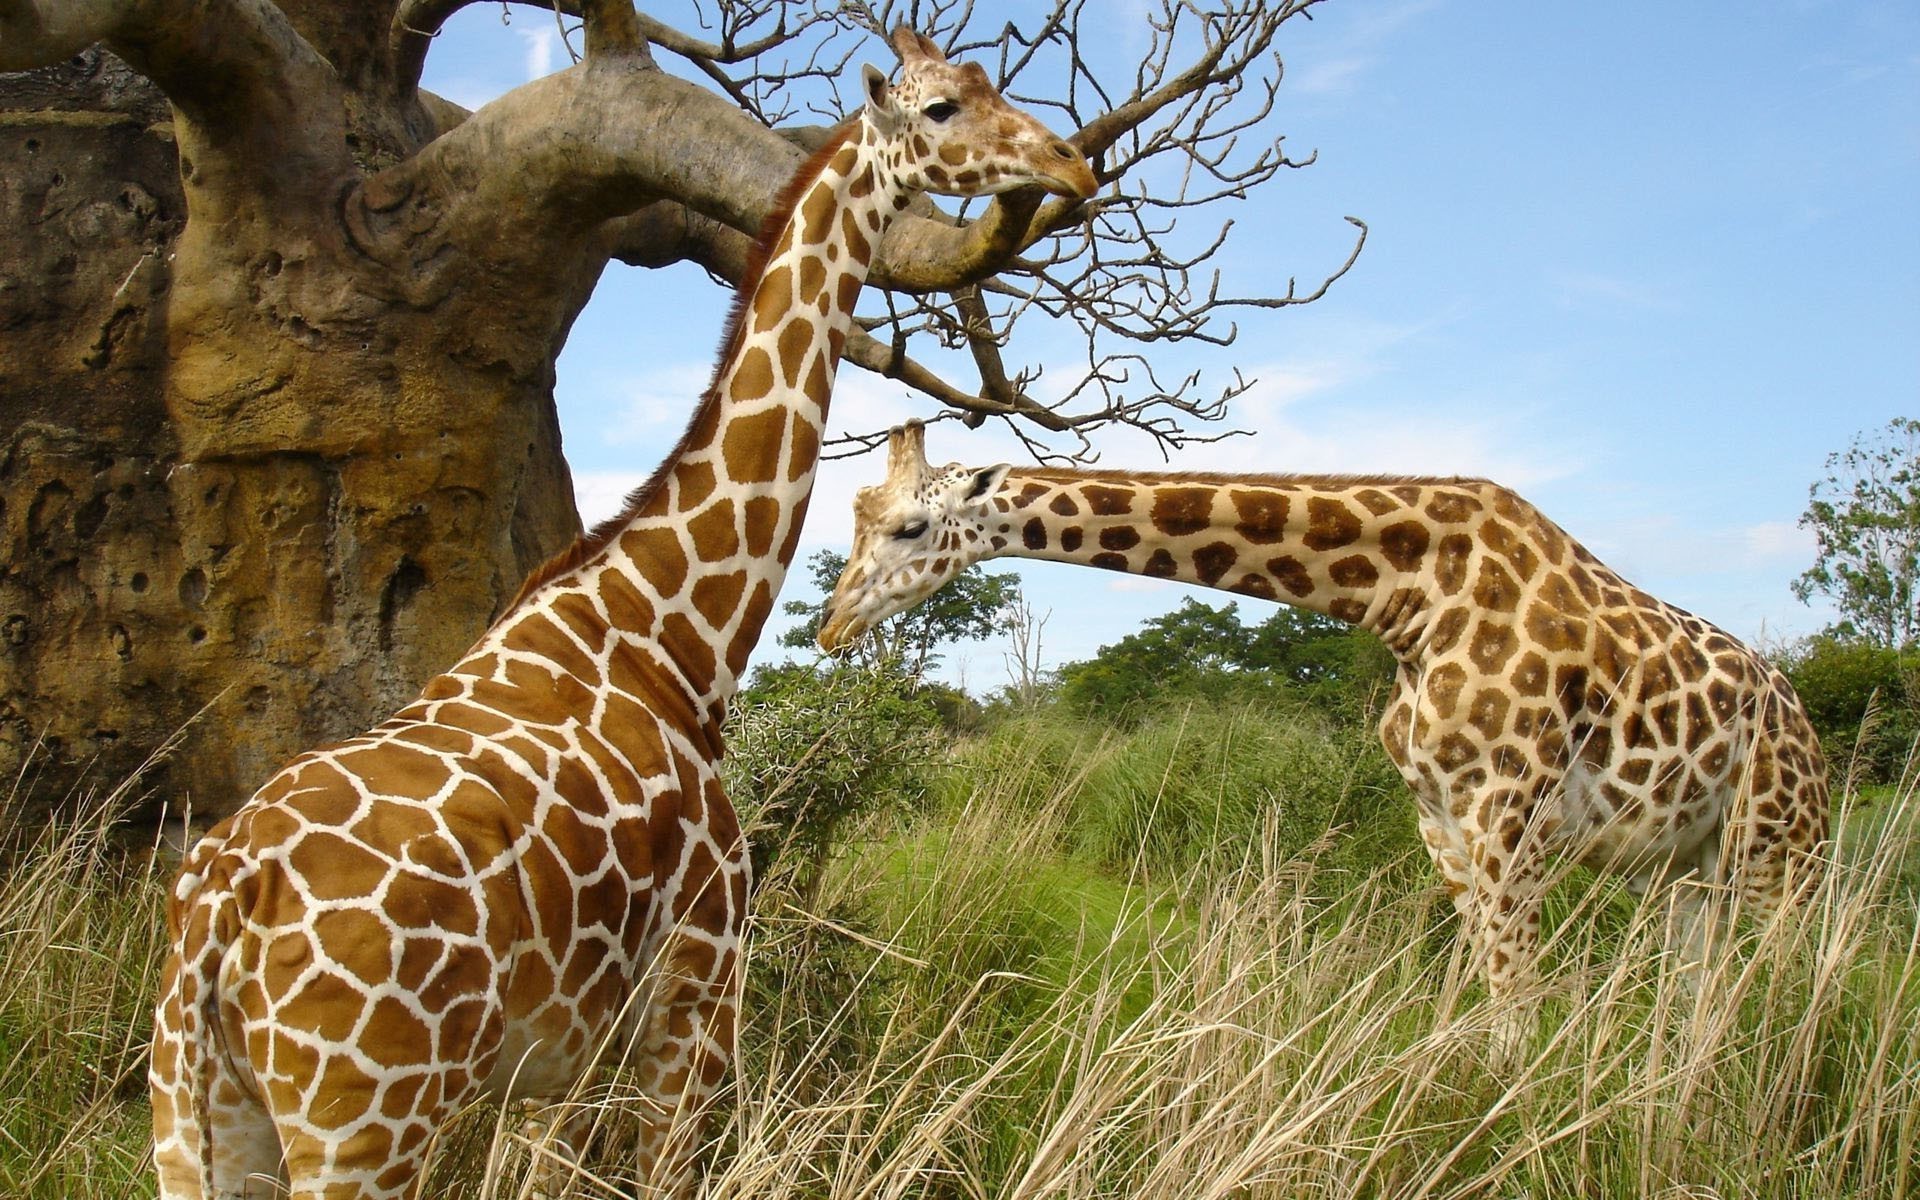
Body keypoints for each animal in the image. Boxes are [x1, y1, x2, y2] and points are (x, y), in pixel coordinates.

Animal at [149, 37, 1098, 1198]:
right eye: (942, 108)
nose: (1069, 162)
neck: (670, 633)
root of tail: (216, 918)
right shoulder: (697, 986)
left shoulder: (560, 1053)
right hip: (364, 1123)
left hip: (198, 1118)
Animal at [814, 426, 1827, 1044]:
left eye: (909, 527)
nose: (830, 627)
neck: (1407, 599)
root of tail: (1804, 723)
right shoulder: (1439, 817)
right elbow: (1484, 995)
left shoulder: (1510, 807)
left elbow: (1515, 1005)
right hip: (1685, 867)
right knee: (1697, 995)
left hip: (1781, 852)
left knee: (1788, 984)